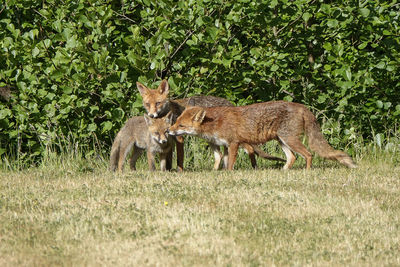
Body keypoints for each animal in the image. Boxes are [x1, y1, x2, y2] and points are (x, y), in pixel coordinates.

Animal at [137, 80, 284, 171]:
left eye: (158, 103)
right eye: (147, 104)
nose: (152, 115)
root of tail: (230, 104)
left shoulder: (179, 138)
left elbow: (179, 159)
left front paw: (179, 171)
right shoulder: (169, 140)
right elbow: (168, 160)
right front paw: (167, 171)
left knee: (250, 149)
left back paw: (253, 167)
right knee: (225, 154)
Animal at [168, 101, 356, 171]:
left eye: (181, 125)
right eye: (176, 122)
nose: (169, 131)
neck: (214, 123)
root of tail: (301, 106)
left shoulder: (234, 143)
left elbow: (230, 163)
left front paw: (228, 174)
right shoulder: (223, 145)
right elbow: (221, 160)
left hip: (290, 140)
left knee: (309, 154)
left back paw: (307, 171)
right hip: (282, 141)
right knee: (292, 157)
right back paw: (283, 171)